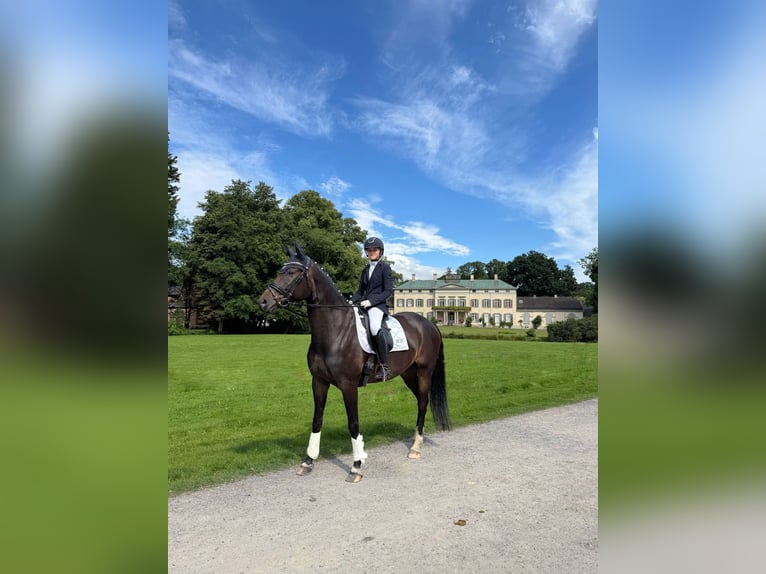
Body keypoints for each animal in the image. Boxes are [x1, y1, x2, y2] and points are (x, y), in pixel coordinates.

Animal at [258, 244, 451, 482]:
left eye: (293, 273)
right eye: (280, 270)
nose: (263, 301)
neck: (336, 331)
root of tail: (429, 324)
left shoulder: (348, 385)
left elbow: (353, 423)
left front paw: (356, 466)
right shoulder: (319, 382)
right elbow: (317, 420)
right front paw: (308, 461)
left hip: (424, 372)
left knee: (423, 402)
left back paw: (415, 448)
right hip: (408, 374)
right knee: (420, 401)